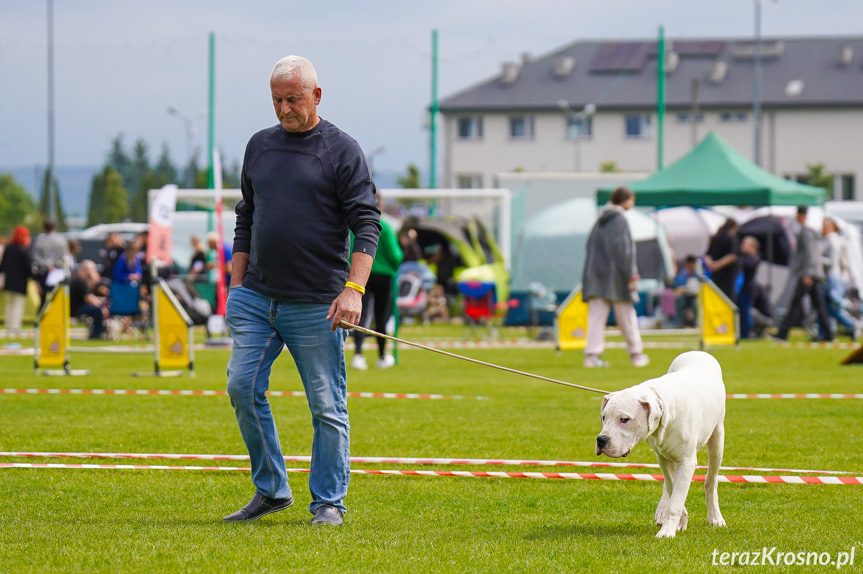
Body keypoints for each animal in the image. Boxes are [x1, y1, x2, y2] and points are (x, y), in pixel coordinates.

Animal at [600, 352, 728, 540]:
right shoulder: (662, 457)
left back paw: (715, 517)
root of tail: (698, 352)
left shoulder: (687, 462)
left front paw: (667, 531)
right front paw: (679, 519)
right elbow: (672, 488)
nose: (601, 440)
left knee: (710, 481)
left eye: (624, 419)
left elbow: (676, 499)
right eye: (603, 417)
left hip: (717, 440)